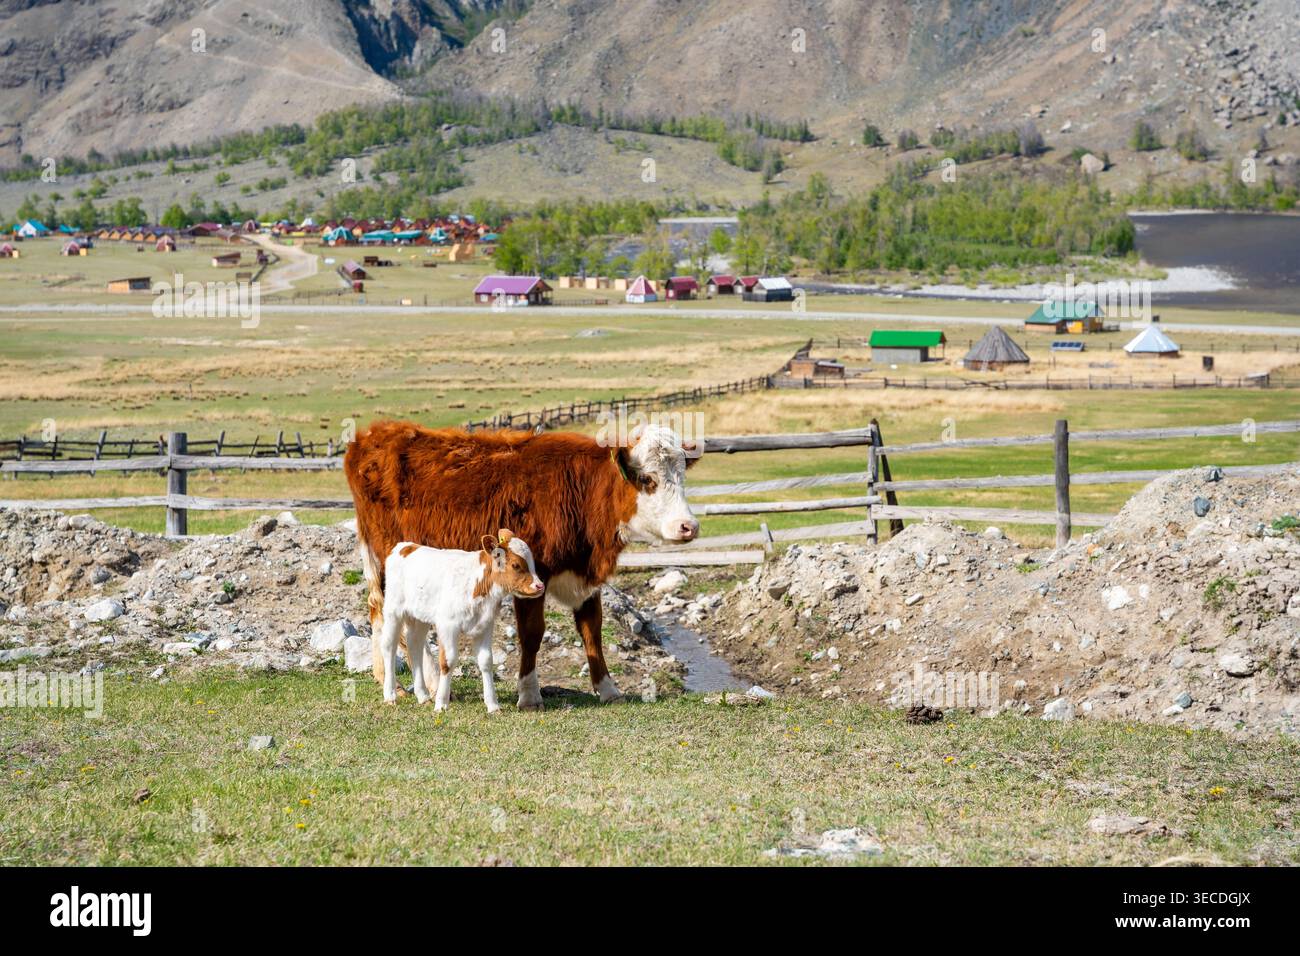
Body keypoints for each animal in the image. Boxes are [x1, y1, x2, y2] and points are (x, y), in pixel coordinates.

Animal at [344, 420, 700, 709]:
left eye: (682, 477)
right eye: (647, 479)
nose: (688, 526)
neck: (582, 490)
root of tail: (374, 435)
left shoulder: (585, 579)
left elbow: (592, 630)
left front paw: (608, 689)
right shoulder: (531, 577)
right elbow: (532, 633)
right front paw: (529, 694)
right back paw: (425, 684)